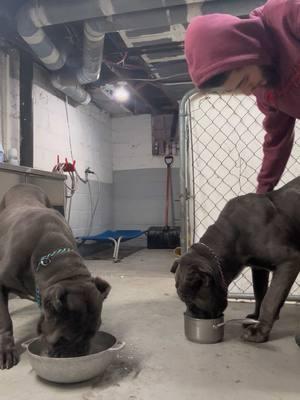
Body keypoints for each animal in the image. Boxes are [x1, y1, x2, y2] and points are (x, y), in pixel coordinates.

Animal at [0, 184, 110, 368]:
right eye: (62, 339)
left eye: (93, 333)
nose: (79, 353)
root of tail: (23, 185)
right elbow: (5, 321)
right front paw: (6, 350)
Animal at [171, 178, 300, 344]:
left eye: (190, 301)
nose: (190, 317)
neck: (235, 234)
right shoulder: (258, 268)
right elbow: (260, 293)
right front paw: (256, 317)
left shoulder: (289, 261)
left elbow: (270, 299)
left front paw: (259, 331)